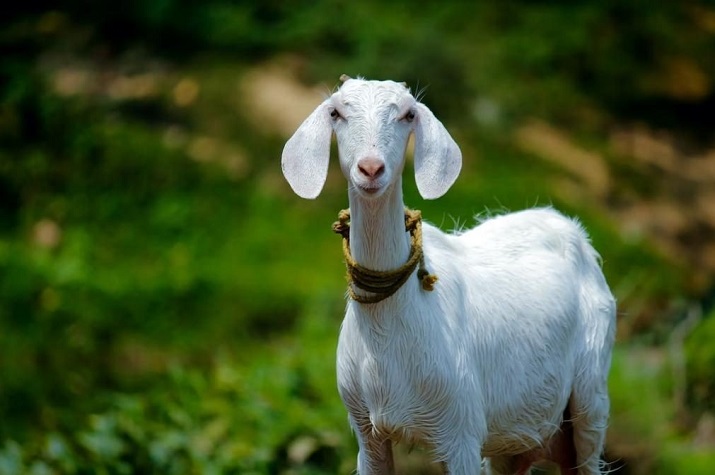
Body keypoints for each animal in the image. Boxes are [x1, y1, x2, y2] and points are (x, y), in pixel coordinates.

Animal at [281, 76, 616, 475]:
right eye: (336, 112)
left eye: (408, 114)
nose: (371, 169)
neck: (390, 328)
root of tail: (570, 227)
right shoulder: (366, 430)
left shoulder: (461, 430)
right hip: (516, 439)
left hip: (591, 396)